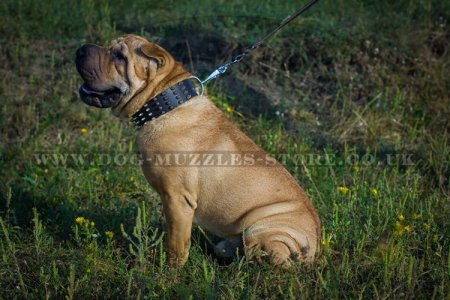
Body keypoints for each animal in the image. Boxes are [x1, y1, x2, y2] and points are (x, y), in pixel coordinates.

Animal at [74, 35, 320, 268]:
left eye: (119, 56)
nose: (82, 48)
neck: (163, 104)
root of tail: (315, 247)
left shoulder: (177, 199)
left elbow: (176, 244)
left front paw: (170, 272)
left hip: (261, 231)